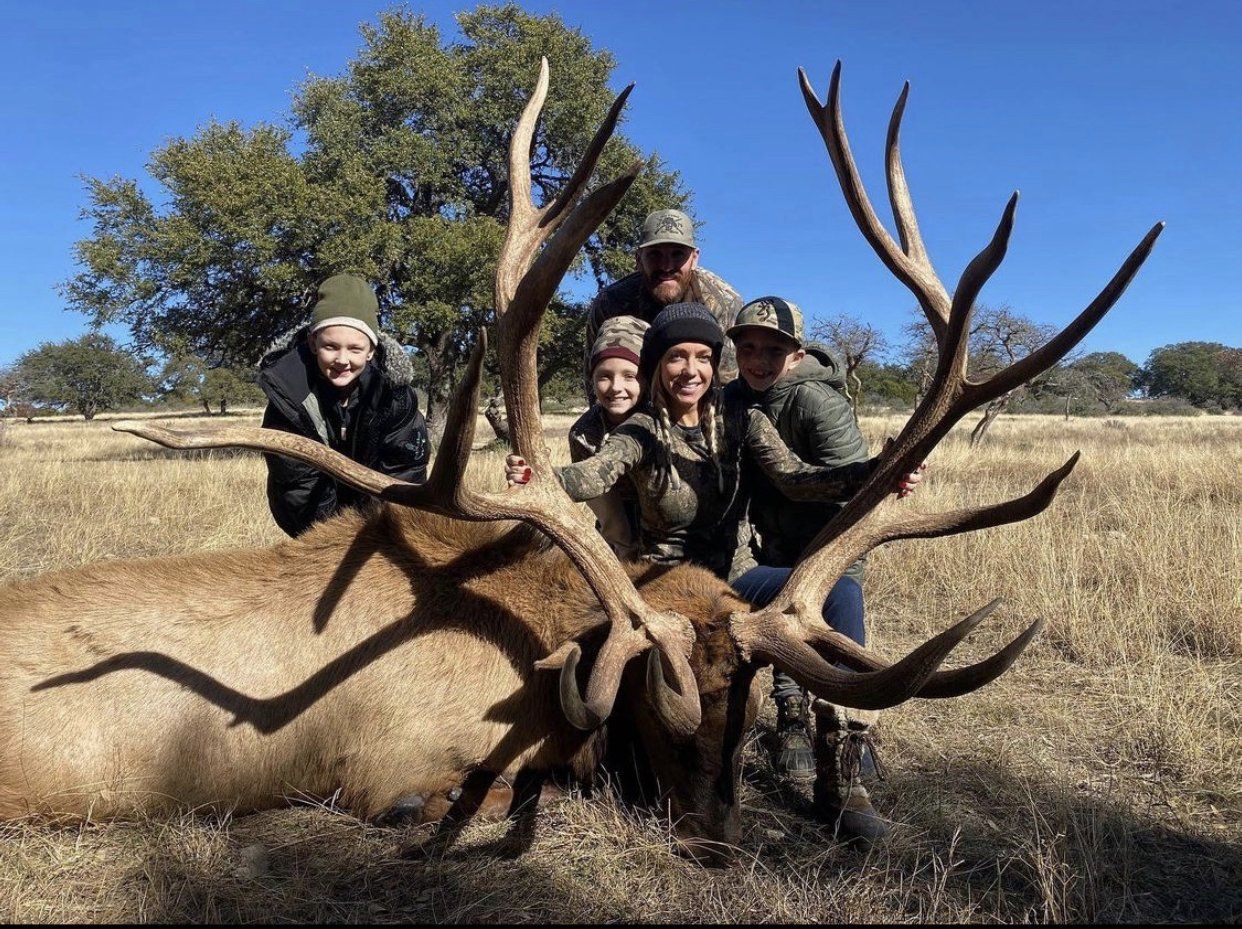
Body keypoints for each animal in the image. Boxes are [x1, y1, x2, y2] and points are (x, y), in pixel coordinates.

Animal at [0, 60, 1160, 866]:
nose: (713, 843)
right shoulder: (391, 770)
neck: (539, 640)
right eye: (663, 711)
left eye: (745, 717)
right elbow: (485, 793)